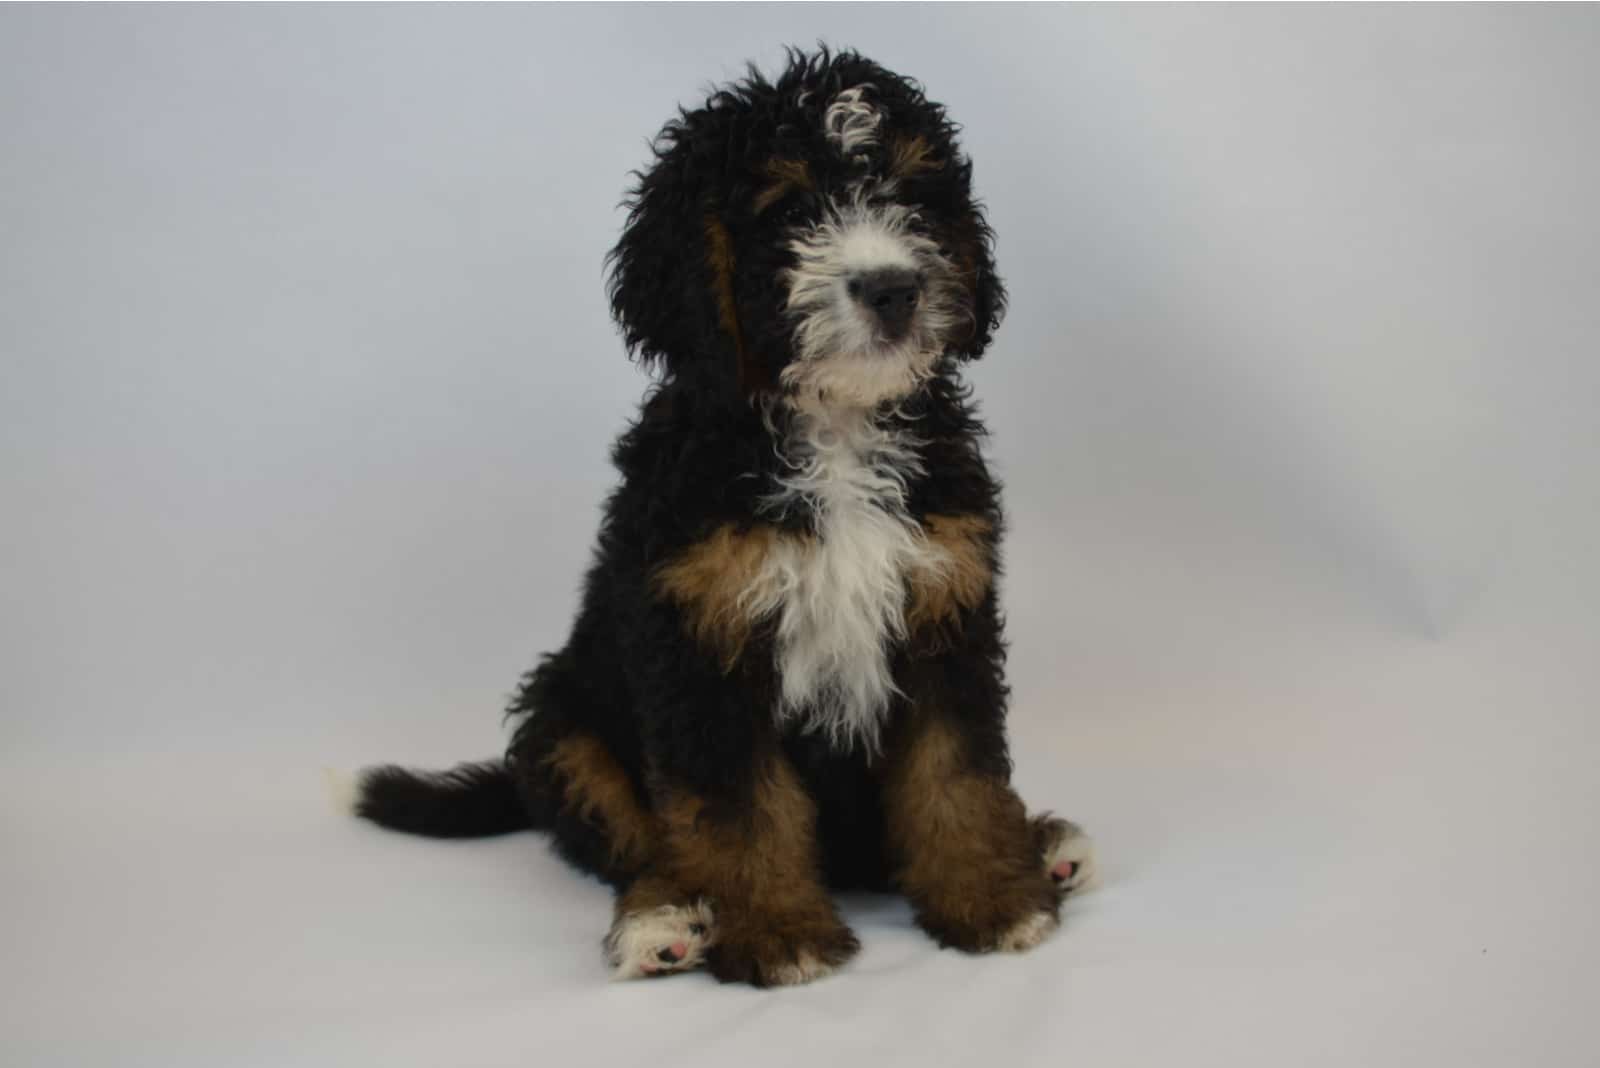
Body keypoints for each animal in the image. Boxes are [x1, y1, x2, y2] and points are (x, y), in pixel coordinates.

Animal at [355, 47, 1094, 984]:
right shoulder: (701, 637)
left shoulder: (942, 605)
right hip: (566, 728)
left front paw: (992, 898)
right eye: (790, 212)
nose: (893, 287)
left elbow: (955, 773)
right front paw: (776, 931)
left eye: (912, 195)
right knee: (639, 845)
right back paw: (659, 921)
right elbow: (736, 808)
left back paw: (1048, 843)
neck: (833, 429)